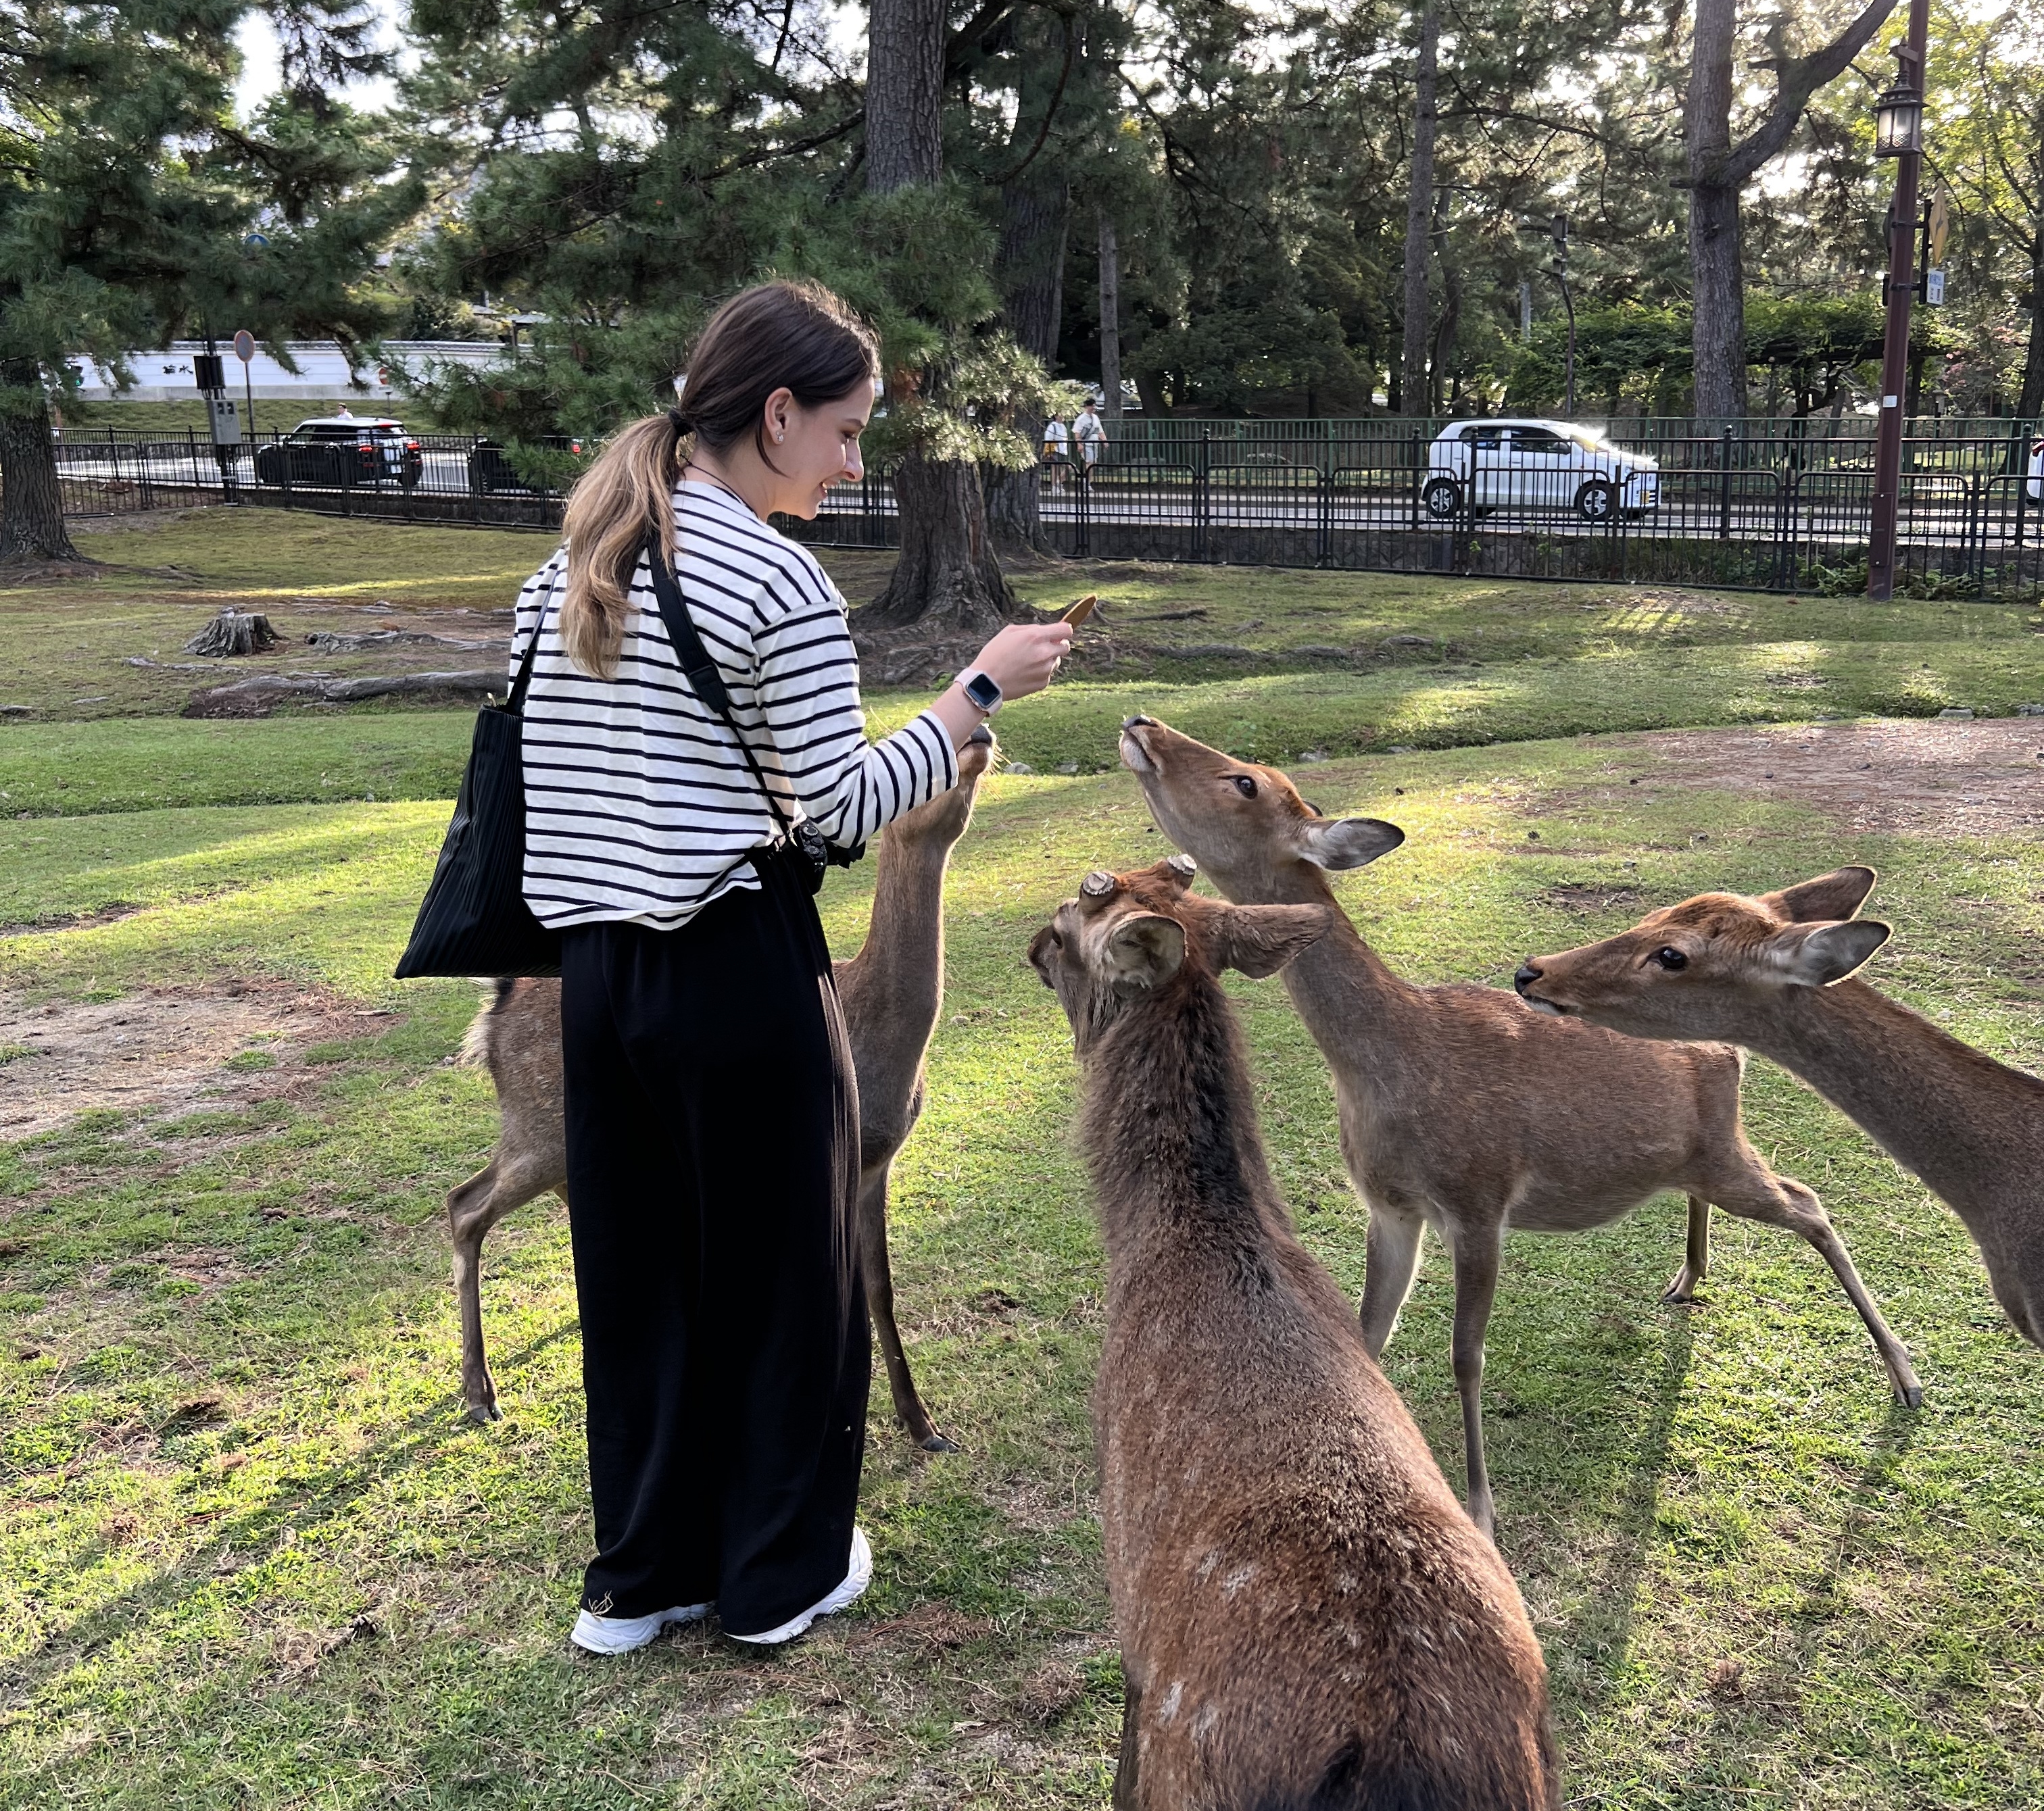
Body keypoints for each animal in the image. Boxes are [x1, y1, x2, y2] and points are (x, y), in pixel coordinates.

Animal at [1112, 715, 1921, 1537]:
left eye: (1246, 781)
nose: (1143, 723)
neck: (1388, 1064)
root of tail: (1731, 1047)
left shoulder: (1478, 1199)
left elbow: (1466, 1355)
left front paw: (1480, 1509)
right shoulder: (1391, 1206)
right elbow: (1369, 1334)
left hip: (1728, 1157)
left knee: (1809, 1201)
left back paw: (1905, 1376)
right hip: (1704, 1156)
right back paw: (1687, 1278)